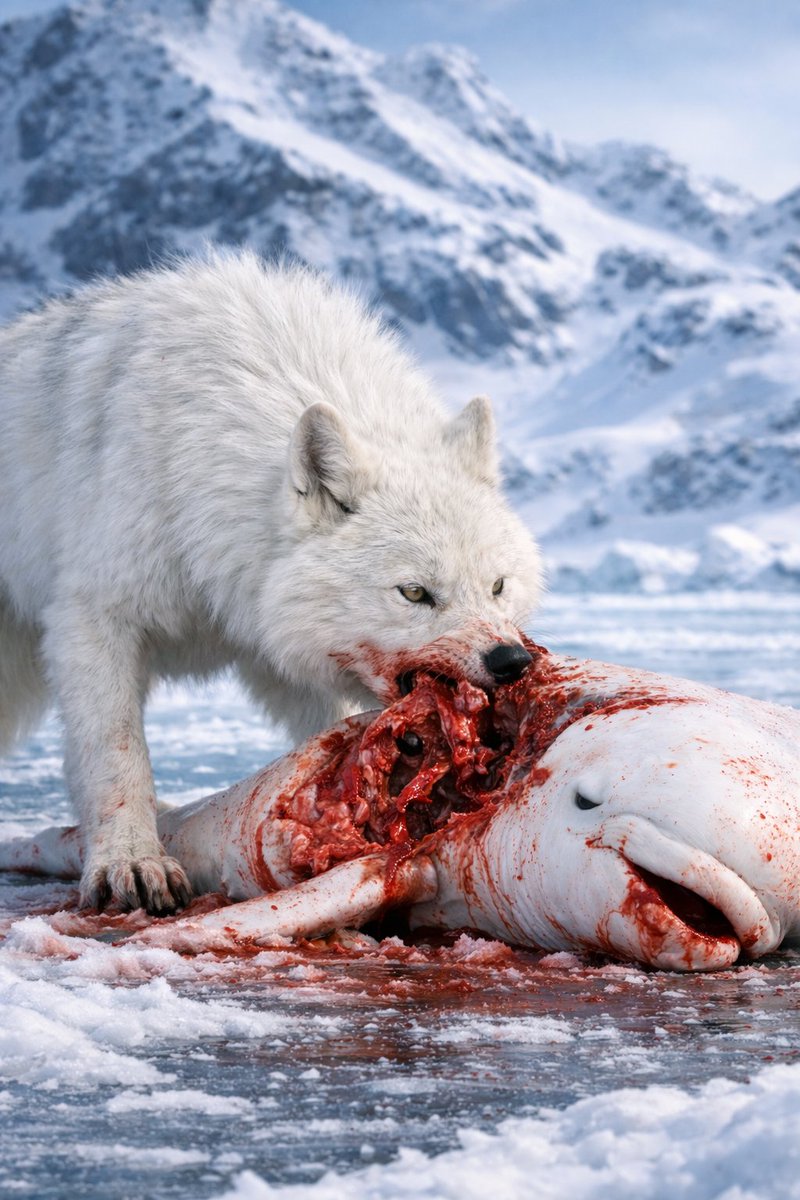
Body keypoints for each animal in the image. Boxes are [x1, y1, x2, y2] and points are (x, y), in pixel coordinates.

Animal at [0, 250, 543, 914]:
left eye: (497, 586)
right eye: (415, 593)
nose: (511, 660)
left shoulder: (278, 655)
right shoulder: (95, 618)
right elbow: (117, 753)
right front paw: (130, 861)